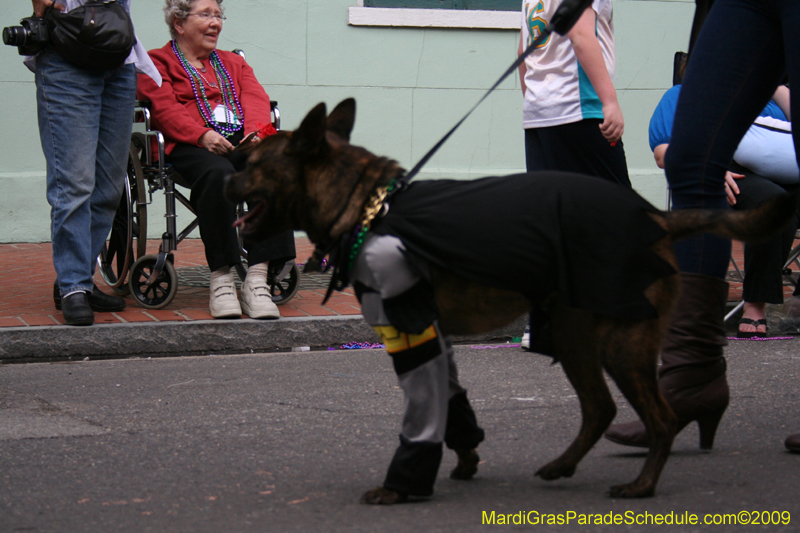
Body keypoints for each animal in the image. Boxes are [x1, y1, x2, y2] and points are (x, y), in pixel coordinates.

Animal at [223, 97, 792, 500]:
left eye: (252, 163)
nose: (226, 177)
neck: (370, 207)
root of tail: (654, 218)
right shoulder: (432, 335)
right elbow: (453, 408)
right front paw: (465, 460)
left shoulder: (410, 333)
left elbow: (423, 417)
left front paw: (403, 485)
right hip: (574, 337)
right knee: (600, 409)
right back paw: (565, 465)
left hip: (619, 345)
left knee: (661, 418)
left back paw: (642, 487)